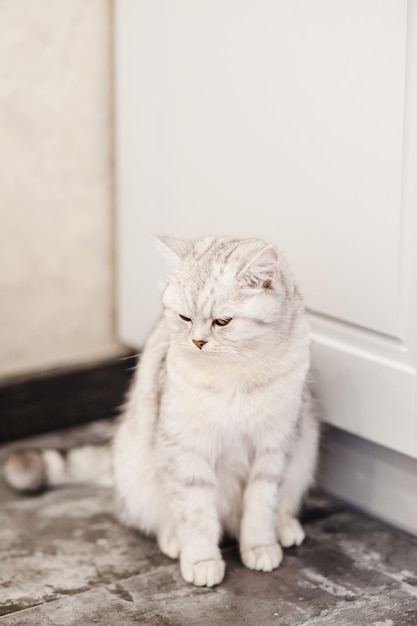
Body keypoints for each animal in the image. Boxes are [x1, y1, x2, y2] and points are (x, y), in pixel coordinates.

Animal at [4, 236, 318, 588]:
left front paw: (260, 546)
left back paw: (284, 527)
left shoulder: (273, 447)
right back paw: (175, 540)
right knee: (162, 517)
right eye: (184, 318)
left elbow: (261, 505)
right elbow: (195, 513)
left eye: (222, 322)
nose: (197, 342)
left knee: (278, 505)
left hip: (304, 453)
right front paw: (202, 560)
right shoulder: (186, 448)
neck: (235, 373)